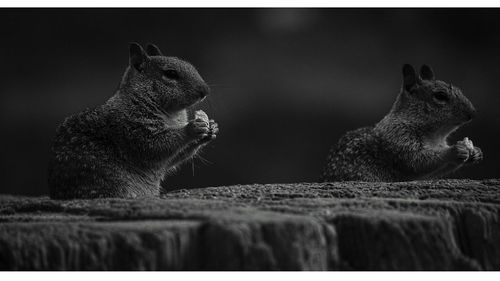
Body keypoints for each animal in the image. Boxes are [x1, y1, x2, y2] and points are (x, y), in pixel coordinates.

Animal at [47, 42, 218, 198]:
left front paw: (212, 129)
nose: (205, 90)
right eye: (170, 73)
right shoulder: (132, 126)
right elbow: (154, 145)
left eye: (191, 66)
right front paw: (192, 128)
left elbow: (174, 157)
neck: (172, 115)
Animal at [322, 63, 482, 182]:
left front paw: (476, 152)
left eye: (459, 90)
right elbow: (417, 161)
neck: (435, 136)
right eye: (440, 96)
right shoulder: (398, 138)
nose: (473, 113)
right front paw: (455, 150)